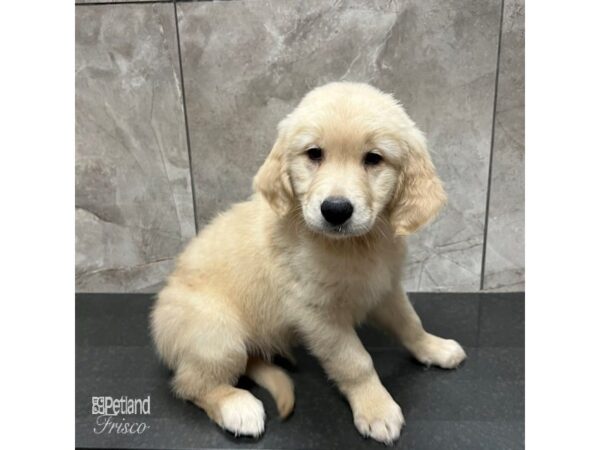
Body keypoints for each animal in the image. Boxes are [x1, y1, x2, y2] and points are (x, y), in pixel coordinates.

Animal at [149, 82, 464, 444]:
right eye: (314, 154)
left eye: (374, 158)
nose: (336, 210)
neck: (354, 246)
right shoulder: (319, 315)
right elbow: (356, 362)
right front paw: (377, 409)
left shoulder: (385, 288)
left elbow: (410, 322)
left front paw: (433, 347)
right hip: (217, 334)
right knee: (190, 384)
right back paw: (237, 407)